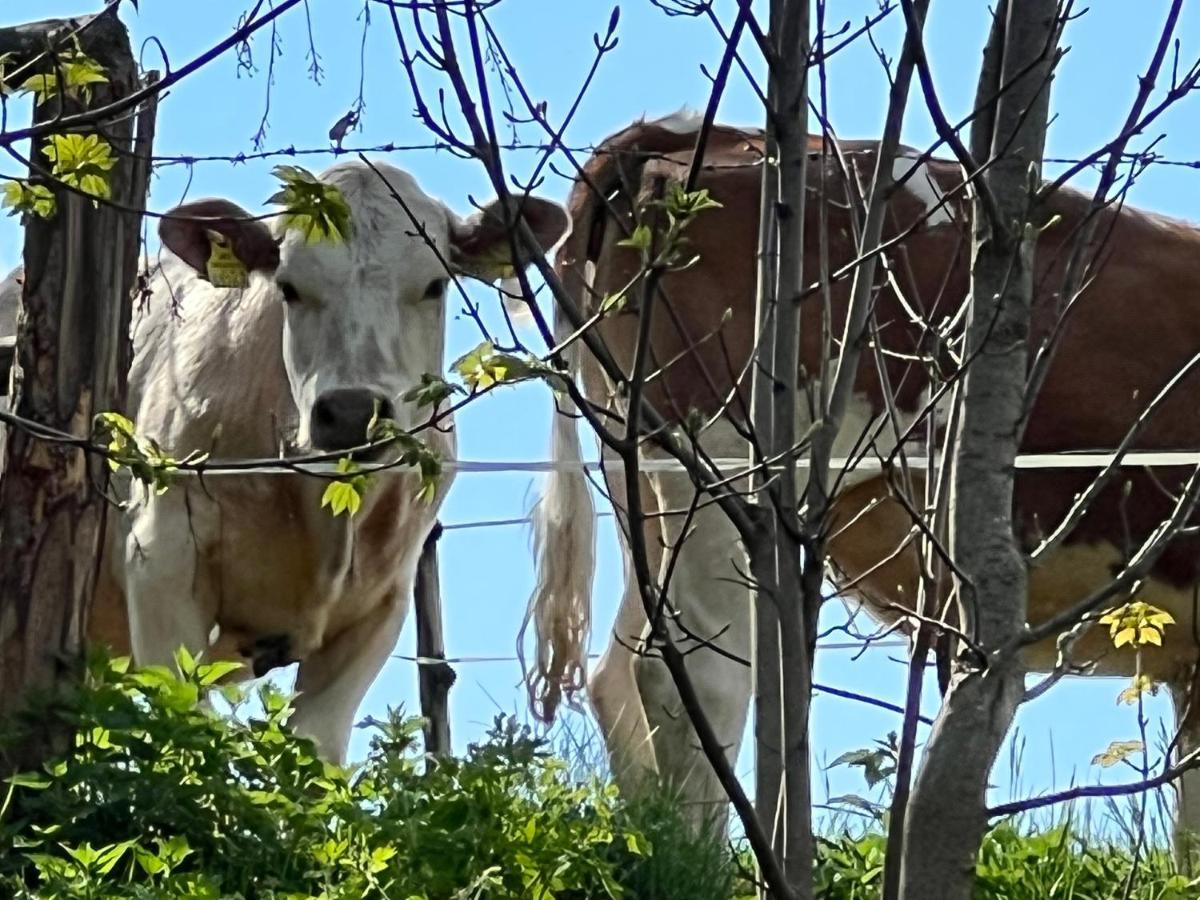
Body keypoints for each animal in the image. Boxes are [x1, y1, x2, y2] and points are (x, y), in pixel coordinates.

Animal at [60, 160, 571, 763]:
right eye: (288, 286)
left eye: (434, 283)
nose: (351, 412)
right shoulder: (161, 554)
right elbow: (185, 725)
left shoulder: (382, 603)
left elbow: (314, 748)